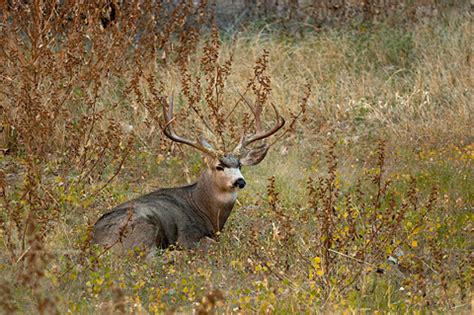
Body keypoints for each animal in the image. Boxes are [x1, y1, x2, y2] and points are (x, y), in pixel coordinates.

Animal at [92, 95, 286, 254]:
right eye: (219, 166)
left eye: (239, 165)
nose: (240, 181)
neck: (204, 208)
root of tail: (94, 240)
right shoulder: (188, 235)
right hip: (141, 228)